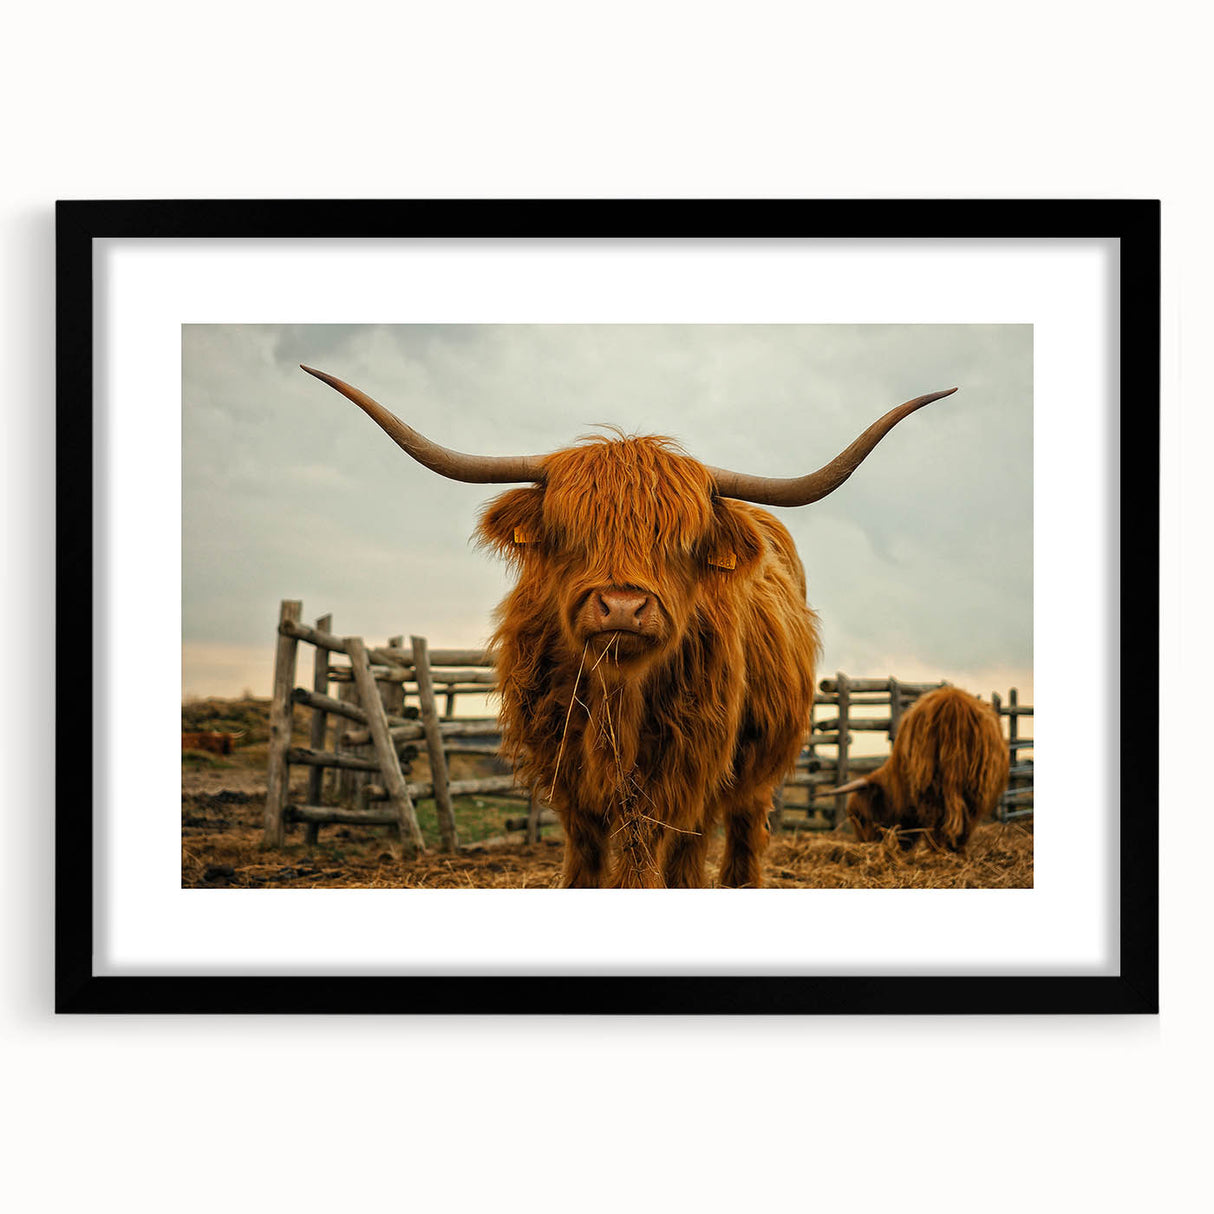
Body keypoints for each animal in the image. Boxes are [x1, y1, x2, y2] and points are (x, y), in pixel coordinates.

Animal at [302, 364, 955, 887]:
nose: (621, 607)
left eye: (681, 542)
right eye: (570, 533)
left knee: (734, 842)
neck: (618, 698)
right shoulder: (567, 780)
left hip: (753, 773)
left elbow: (656, 862)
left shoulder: (681, 777)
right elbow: (586, 862)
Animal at [831, 686, 1009, 854]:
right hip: (975, 785)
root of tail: (953, 703)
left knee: (937, 817)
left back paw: (937, 850)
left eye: (861, 817)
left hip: (929, 782)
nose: (865, 844)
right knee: (965, 819)